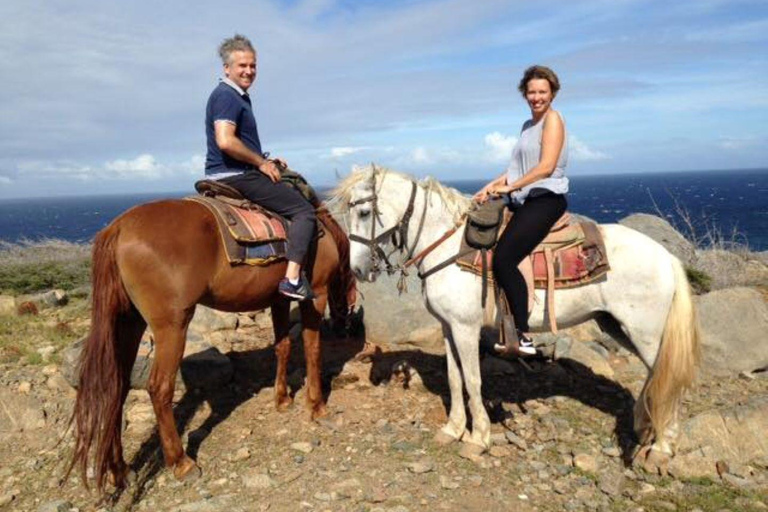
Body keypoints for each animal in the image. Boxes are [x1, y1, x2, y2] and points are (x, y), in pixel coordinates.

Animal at [65, 197, 354, 492]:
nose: (346, 328)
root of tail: (118, 228)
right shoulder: (317, 293)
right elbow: (312, 350)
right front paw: (317, 406)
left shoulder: (279, 300)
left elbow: (282, 347)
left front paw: (283, 399)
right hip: (172, 325)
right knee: (159, 388)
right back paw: (181, 463)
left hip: (128, 321)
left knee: (117, 386)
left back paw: (119, 470)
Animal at [332, 164, 704, 472]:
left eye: (364, 211)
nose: (357, 270)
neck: (447, 245)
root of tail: (666, 256)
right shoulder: (448, 328)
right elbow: (454, 378)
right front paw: (453, 429)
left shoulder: (465, 328)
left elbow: (473, 380)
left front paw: (478, 438)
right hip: (619, 327)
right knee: (656, 376)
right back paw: (644, 427)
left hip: (646, 333)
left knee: (670, 380)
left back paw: (661, 448)